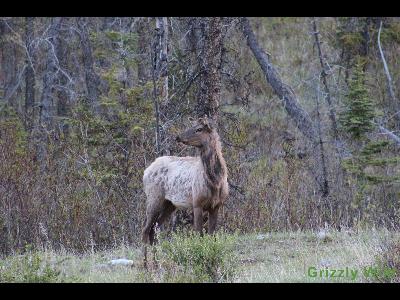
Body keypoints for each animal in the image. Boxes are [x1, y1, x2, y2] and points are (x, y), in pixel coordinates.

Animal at [141, 116, 228, 245]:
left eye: (199, 129)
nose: (178, 137)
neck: (216, 181)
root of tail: (145, 172)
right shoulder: (197, 202)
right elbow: (198, 233)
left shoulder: (216, 205)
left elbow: (211, 234)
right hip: (153, 197)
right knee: (145, 229)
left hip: (169, 203)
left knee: (154, 227)